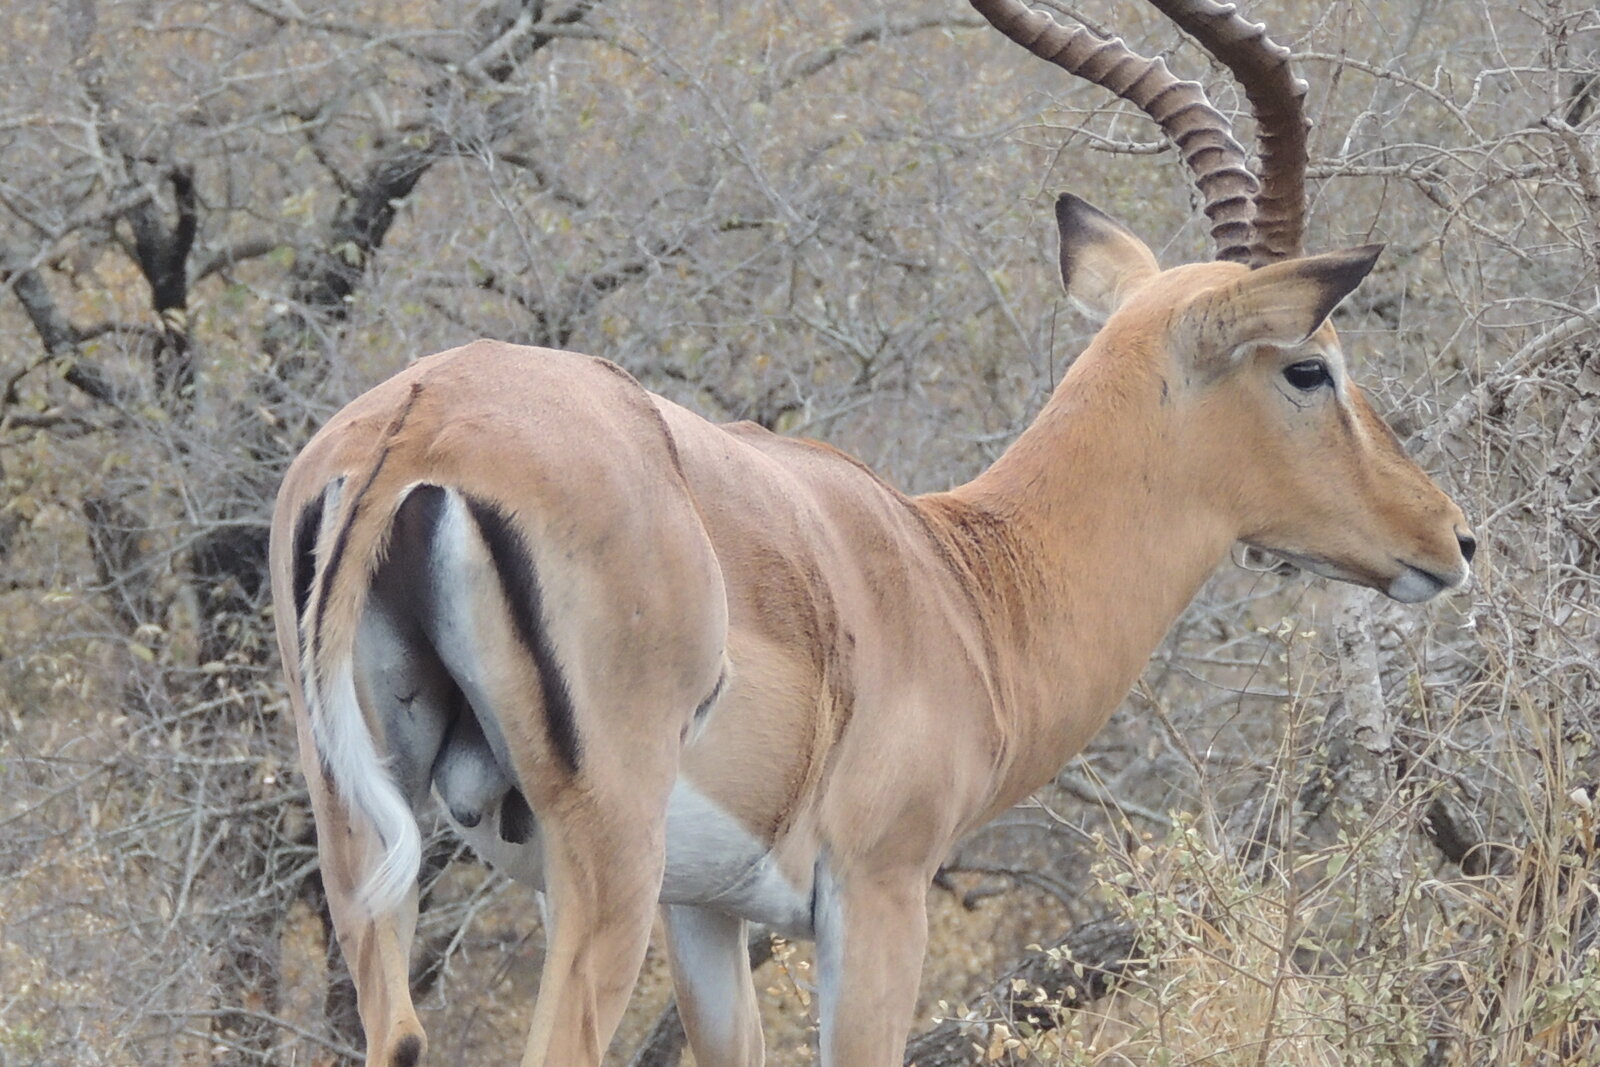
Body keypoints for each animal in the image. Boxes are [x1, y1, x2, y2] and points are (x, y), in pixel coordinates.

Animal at [268, 1, 1476, 1064]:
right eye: (1311, 366)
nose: (1451, 537)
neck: (968, 581)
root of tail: (420, 422)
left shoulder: (704, 909)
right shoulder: (879, 893)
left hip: (358, 832)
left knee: (396, 1029)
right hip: (602, 857)